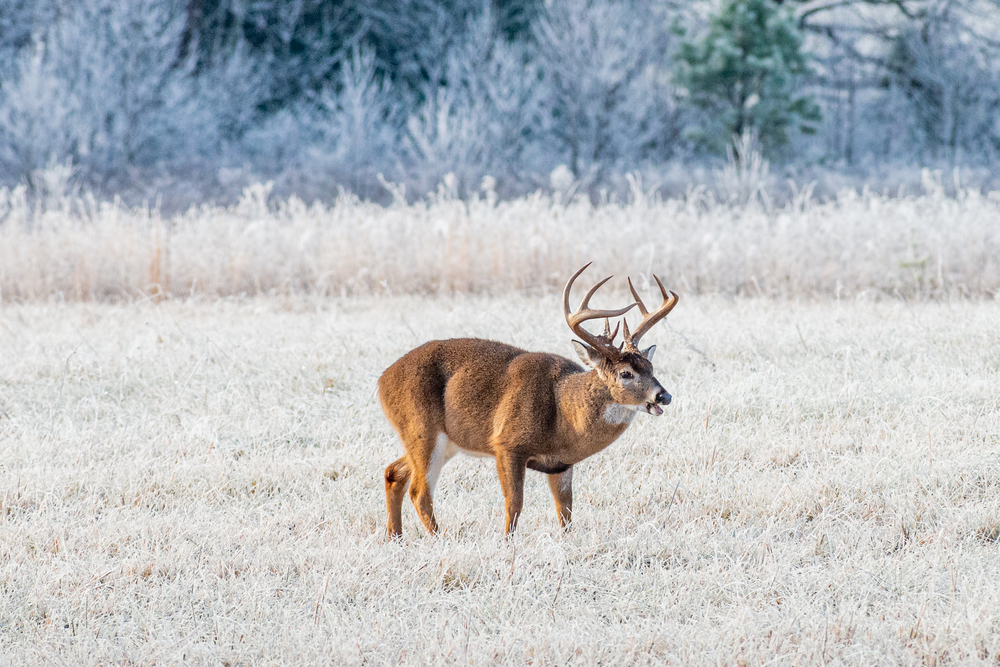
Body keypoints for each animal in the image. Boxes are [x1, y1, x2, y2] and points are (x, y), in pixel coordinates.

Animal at [378, 263, 678, 537]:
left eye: (651, 368)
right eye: (625, 373)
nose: (664, 395)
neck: (563, 416)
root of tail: (382, 382)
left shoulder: (561, 464)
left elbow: (565, 512)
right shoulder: (507, 443)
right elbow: (514, 504)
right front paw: (507, 543)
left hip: (437, 439)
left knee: (393, 472)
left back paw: (395, 537)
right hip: (423, 430)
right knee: (420, 492)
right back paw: (440, 539)